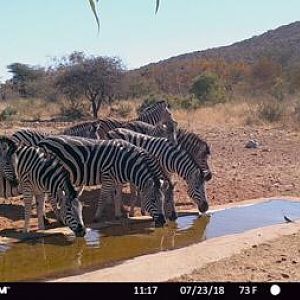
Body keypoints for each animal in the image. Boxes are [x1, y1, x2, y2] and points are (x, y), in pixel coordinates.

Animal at [37, 135, 171, 226]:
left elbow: (118, 197)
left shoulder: (118, 180)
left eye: (163, 200)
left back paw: (46, 218)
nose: (163, 222)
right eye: (153, 201)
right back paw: (58, 218)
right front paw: (97, 218)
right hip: (50, 174)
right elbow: (103, 198)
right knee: (50, 198)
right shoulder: (107, 177)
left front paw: (118, 216)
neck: (126, 162)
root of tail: (42, 141)